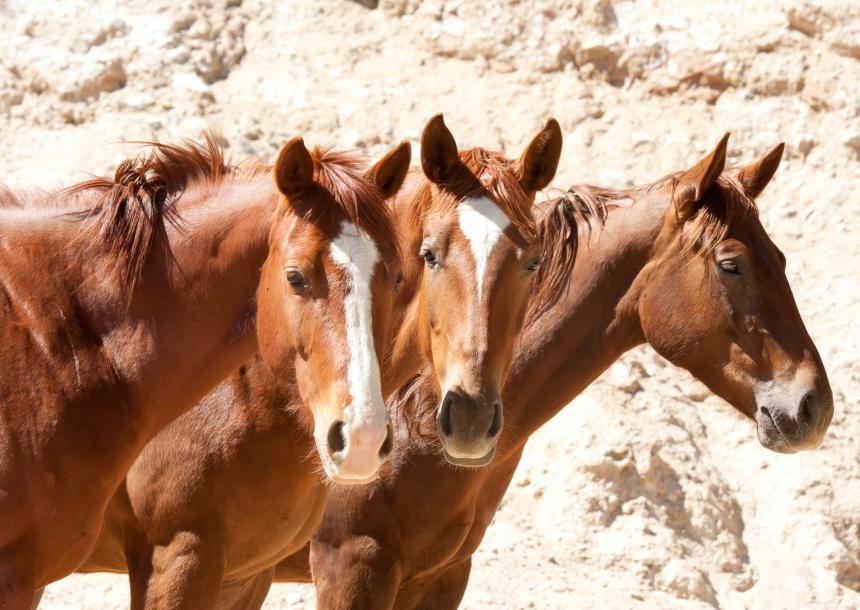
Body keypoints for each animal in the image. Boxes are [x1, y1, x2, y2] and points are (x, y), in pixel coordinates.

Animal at [275, 135, 834, 609]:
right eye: (730, 264)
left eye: (781, 259)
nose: (815, 407)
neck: (412, 406)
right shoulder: (351, 566)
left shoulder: (442, 575)